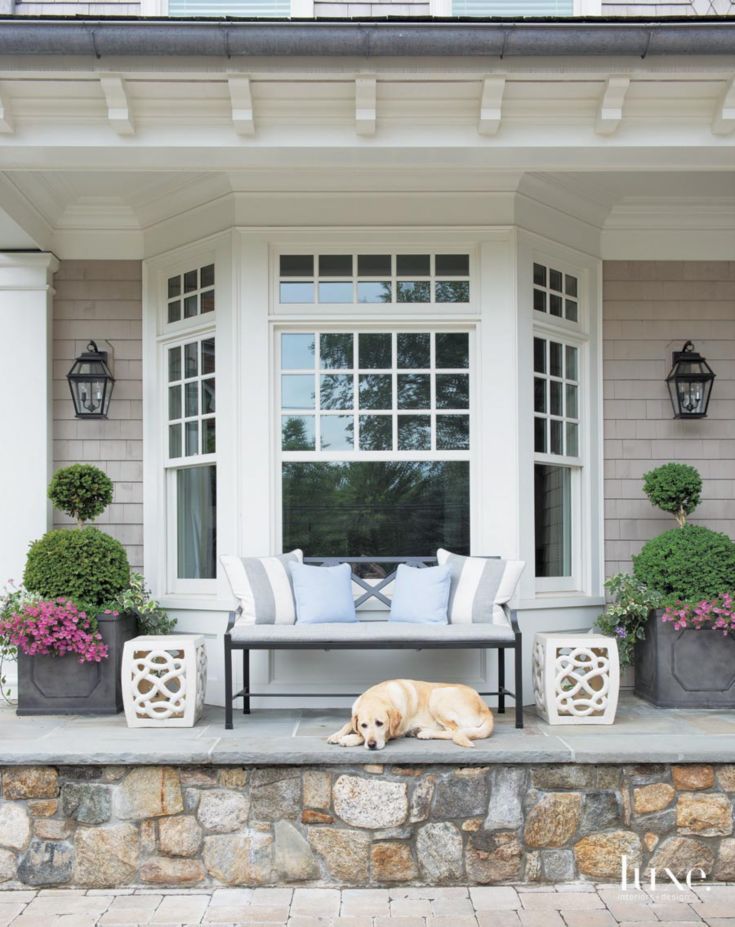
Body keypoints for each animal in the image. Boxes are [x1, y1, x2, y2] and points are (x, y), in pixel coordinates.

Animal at [328, 676, 494, 752]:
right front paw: (336, 735)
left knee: (455, 731)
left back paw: (425, 733)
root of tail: (486, 708)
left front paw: (349, 739)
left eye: (380, 723)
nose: (372, 745)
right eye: (363, 725)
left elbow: (365, 735)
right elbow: (348, 724)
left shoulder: (394, 732)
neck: (378, 696)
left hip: (437, 696)